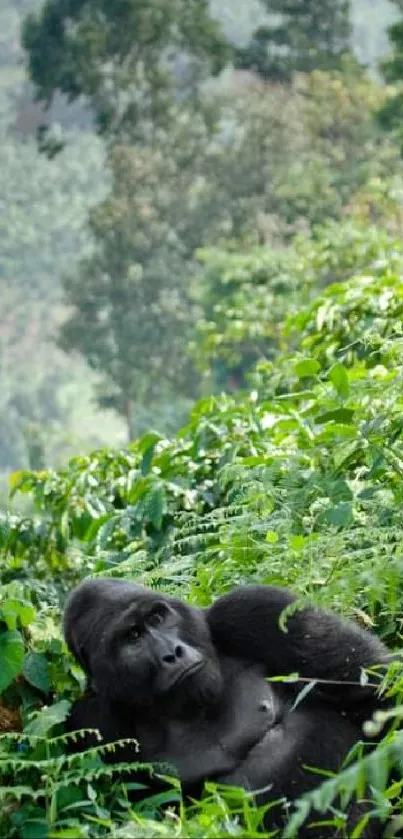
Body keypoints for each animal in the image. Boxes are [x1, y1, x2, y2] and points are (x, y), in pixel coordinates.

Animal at [64, 576, 394, 839]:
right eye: (133, 637)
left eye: (157, 618)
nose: (173, 653)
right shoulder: (92, 721)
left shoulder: (254, 609)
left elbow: (376, 691)